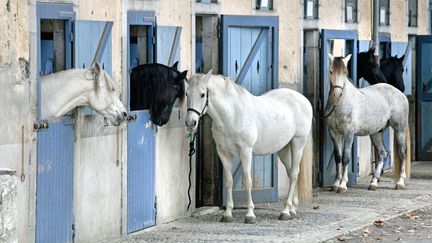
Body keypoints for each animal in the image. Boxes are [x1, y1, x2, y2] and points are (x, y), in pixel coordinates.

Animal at [186, 70, 314, 224]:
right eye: (186, 94)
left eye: (202, 94)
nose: (191, 123)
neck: (233, 115)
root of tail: (303, 99)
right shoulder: (223, 153)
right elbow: (228, 181)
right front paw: (227, 214)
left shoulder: (246, 151)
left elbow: (247, 181)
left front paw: (250, 215)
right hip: (283, 149)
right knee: (290, 173)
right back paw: (292, 209)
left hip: (298, 143)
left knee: (294, 173)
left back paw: (285, 211)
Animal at [326, 54, 410, 193]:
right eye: (331, 71)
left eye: (345, 72)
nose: (337, 94)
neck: (341, 104)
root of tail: (399, 92)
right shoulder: (334, 133)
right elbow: (338, 157)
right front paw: (335, 184)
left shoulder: (349, 134)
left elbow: (345, 158)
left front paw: (343, 185)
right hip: (376, 133)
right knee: (383, 153)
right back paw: (374, 182)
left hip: (400, 129)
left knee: (402, 152)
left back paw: (400, 183)